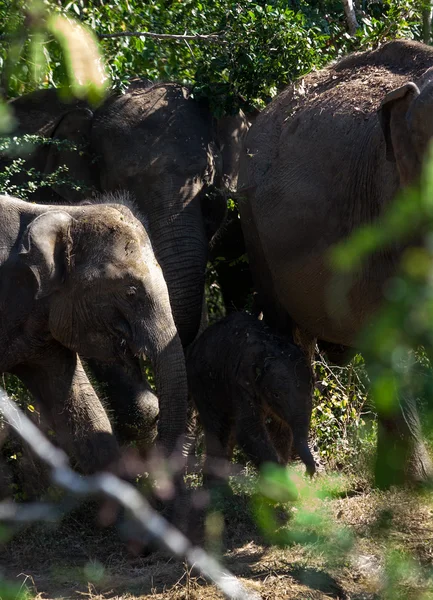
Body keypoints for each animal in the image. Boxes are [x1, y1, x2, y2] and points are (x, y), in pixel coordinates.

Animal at [185, 312, 314, 486]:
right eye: (276, 394)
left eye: (310, 390)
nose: (309, 473)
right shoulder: (241, 383)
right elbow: (249, 431)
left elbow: (281, 431)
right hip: (202, 382)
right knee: (219, 427)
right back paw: (217, 488)